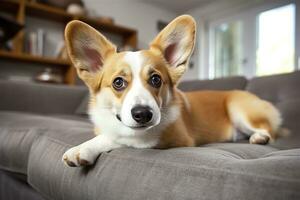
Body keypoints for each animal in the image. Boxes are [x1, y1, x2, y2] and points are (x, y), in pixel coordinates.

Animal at [62, 14, 282, 166]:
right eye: (118, 82)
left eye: (156, 79)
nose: (143, 114)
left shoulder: (166, 139)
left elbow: (117, 138)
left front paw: (83, 149)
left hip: (238, 108)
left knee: (268, 130)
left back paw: (259, 137)